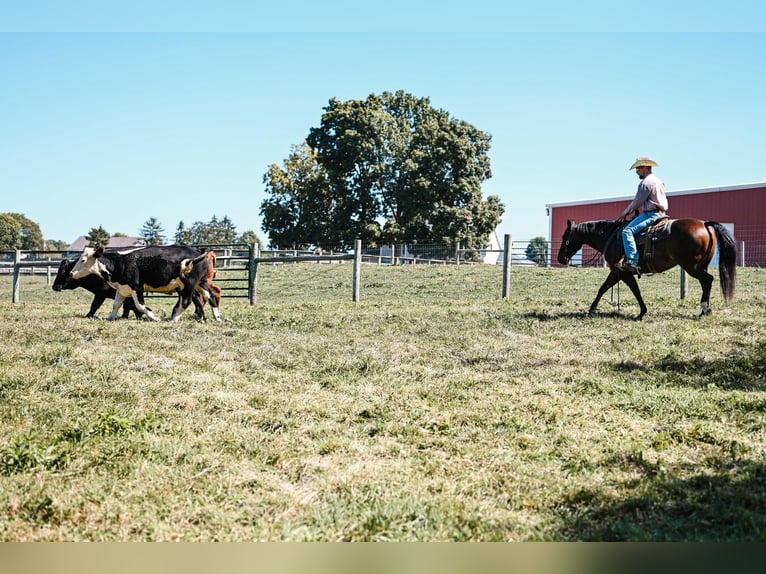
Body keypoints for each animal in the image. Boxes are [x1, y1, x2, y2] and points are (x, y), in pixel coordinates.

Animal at [68, 244, 222, 322]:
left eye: (83, 260)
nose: (71, 273)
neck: (121, 262)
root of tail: (198, 251)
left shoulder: (136, 287)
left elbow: (140, 306)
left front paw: (154, 317)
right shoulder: (122, 288)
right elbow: (116, 304)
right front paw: (111, 318)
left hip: (189, 284)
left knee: (187, 301)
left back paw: (174, 319)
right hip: (201, 282)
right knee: (210, 297)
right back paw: (217, 318)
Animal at [560, 218, 736, 322]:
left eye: (564, 237)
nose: (560, 258)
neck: (611, 236)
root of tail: (705, 224)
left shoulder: (622, 272)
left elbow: (633, 290)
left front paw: (642, 313)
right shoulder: (616, 272)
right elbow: (604, 288)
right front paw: (591, 309)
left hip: (691, 266)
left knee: (708, 280)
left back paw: (705, 308)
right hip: (700, 265)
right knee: (706, 283)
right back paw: (705, 310)